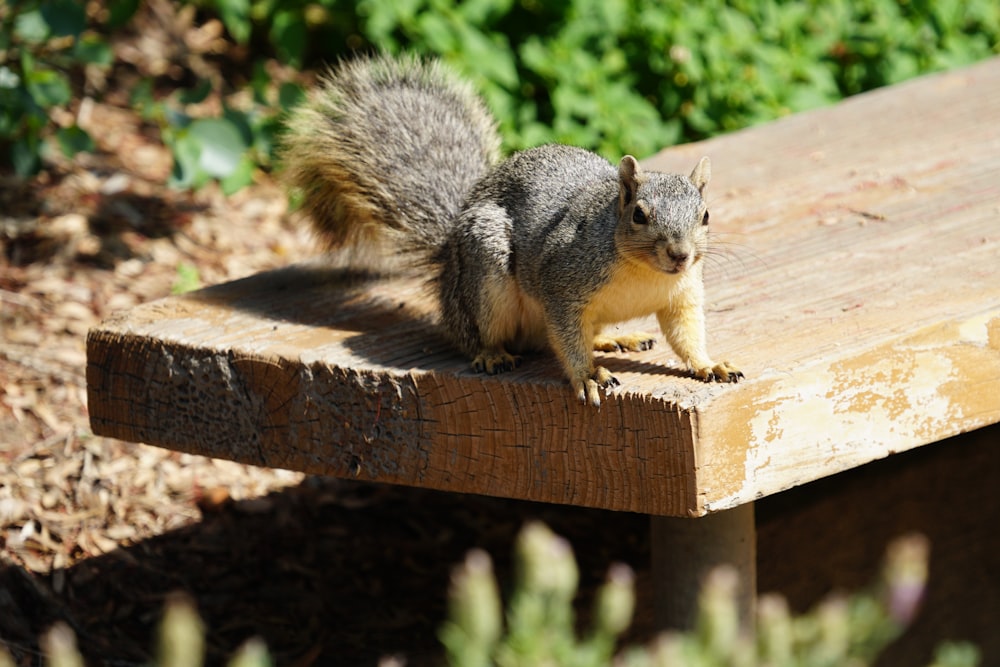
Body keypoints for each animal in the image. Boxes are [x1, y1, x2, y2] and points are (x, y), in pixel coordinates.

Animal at [282, 53, 744, 408]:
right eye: (639, 216)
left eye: (705, 215)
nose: (680, 255)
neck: (642, 272)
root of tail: (449, 262)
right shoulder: (562, 284)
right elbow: (568, 339)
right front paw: (587, 376)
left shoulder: (682, 295)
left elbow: (686, 336)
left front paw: (710, 364)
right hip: (485, 272)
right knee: (482, 336)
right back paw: (492, 354)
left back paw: (617, 340)